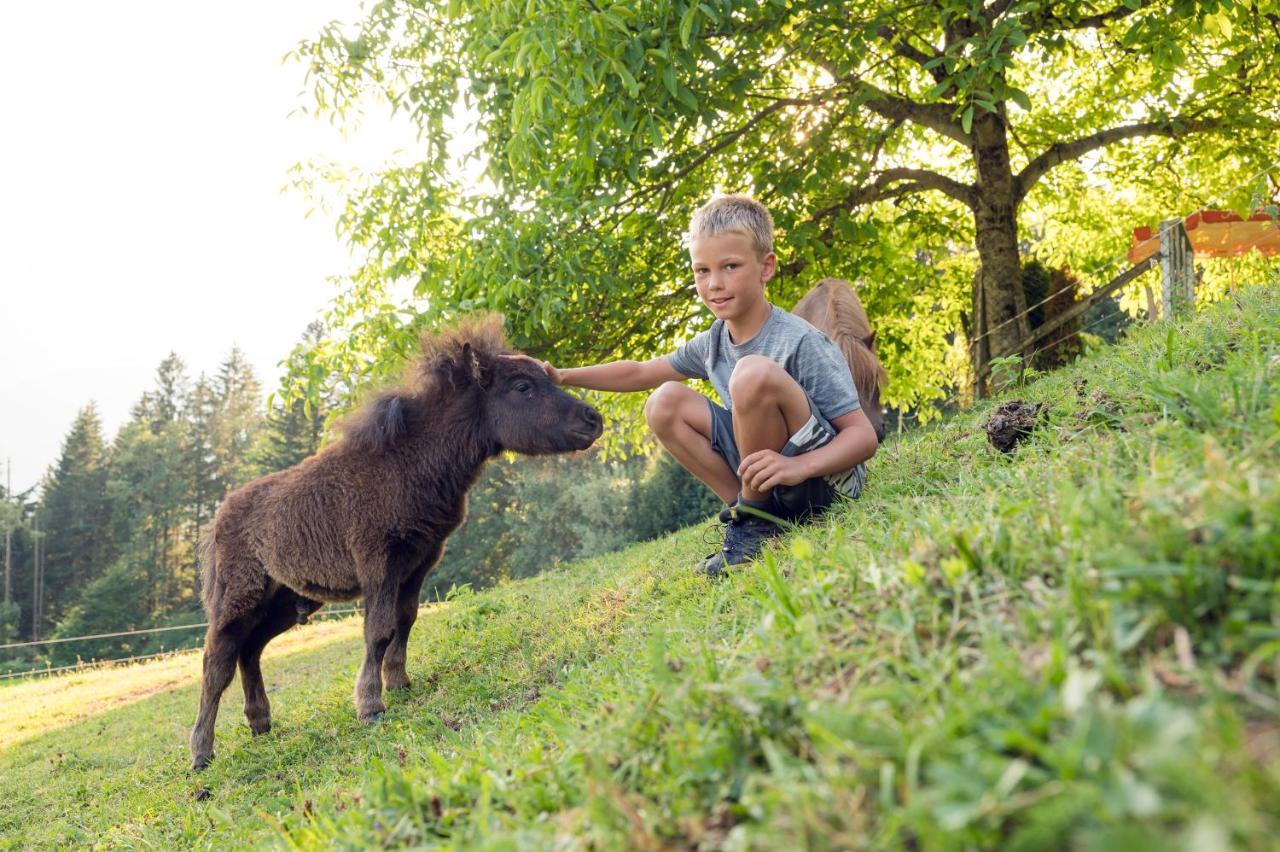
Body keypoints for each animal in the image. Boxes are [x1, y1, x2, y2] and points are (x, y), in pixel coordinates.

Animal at [189, 313, 604, 767]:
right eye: (522, 386)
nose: (593, 419)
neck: (410, 462)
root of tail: (218, 516)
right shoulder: (380, 564)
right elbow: (379, 630)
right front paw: (370, 705)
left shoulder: (419, 562)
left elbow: (405, 620)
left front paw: (400, 682)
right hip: (240, 597)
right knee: (217, 662)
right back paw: (201, 753)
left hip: (286, 601)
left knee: (250, 650)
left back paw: (260, 723)